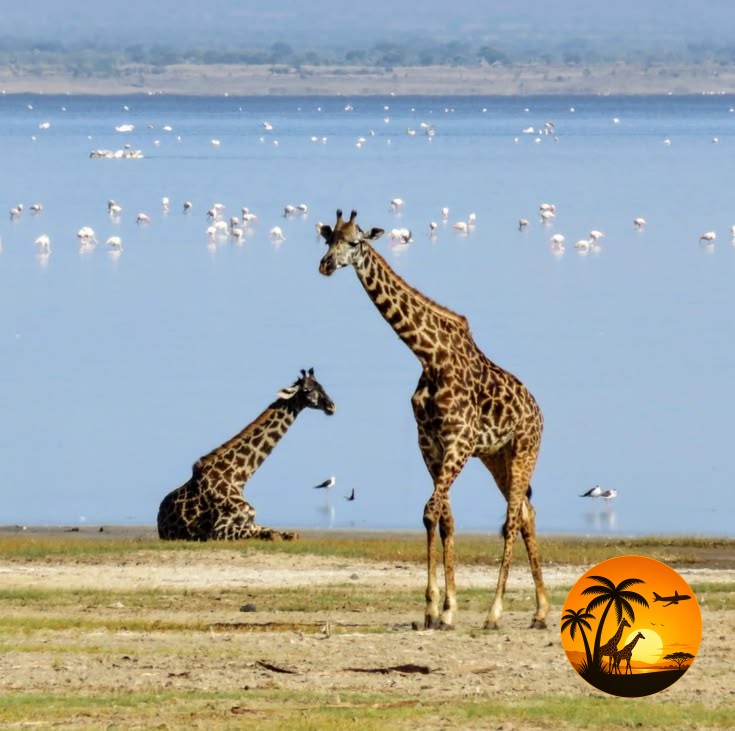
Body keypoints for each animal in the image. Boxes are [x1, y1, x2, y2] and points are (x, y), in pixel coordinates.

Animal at [157, 368, 335, 541]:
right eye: (307, 390)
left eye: (321, 386)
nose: (331, 406)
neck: (238, 476)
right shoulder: (217, 530)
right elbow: (272, 535)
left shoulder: (251, 522)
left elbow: (290, 534)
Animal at [318, 209, 549, 630]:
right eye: (329, 240)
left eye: (355, 242)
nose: (326, 265)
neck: (429, 355)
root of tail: (539, 411)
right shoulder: (430, 443)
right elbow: (444, 519)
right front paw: (444, 609)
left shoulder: (459, 441)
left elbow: (429, 512)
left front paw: (434, 609)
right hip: (498, 457)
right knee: (526, 513)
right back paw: (540, 611)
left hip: (525, 449)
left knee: (511, 520)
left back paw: (495, 612)